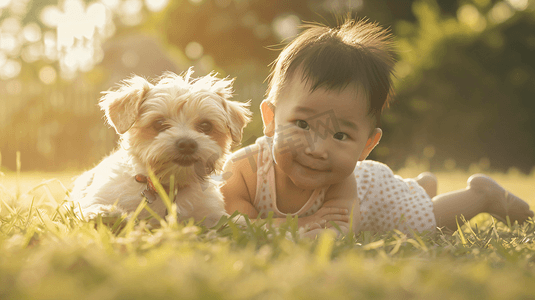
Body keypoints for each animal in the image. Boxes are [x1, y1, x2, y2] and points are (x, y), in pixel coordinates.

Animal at [67, 69, 251, 226]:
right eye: (159, 123)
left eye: (206, 126)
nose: (187, 144)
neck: (168, 187)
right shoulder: (100, 196)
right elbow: (94, 206)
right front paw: (103, 214)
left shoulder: (210, 212)